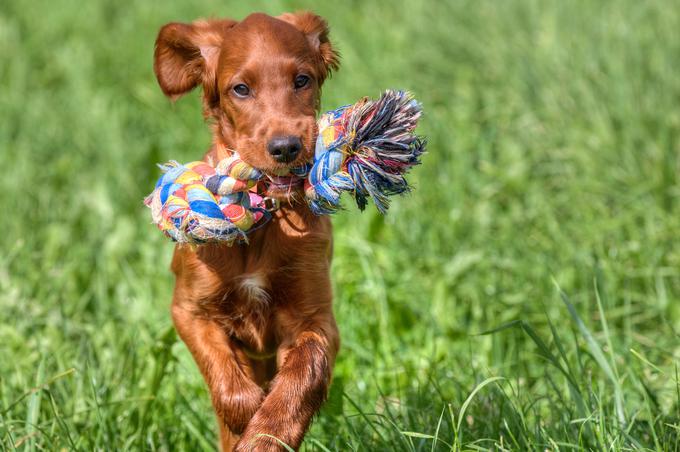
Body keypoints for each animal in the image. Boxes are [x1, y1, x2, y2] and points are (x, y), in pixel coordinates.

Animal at [154, 10, 340, 452]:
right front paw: (246, 419)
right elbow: (229, 386)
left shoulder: (315, 319)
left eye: (302, 80)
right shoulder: (190, 311)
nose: (286, 147)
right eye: (241, 89)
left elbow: (303, 378)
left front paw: (265, 435)